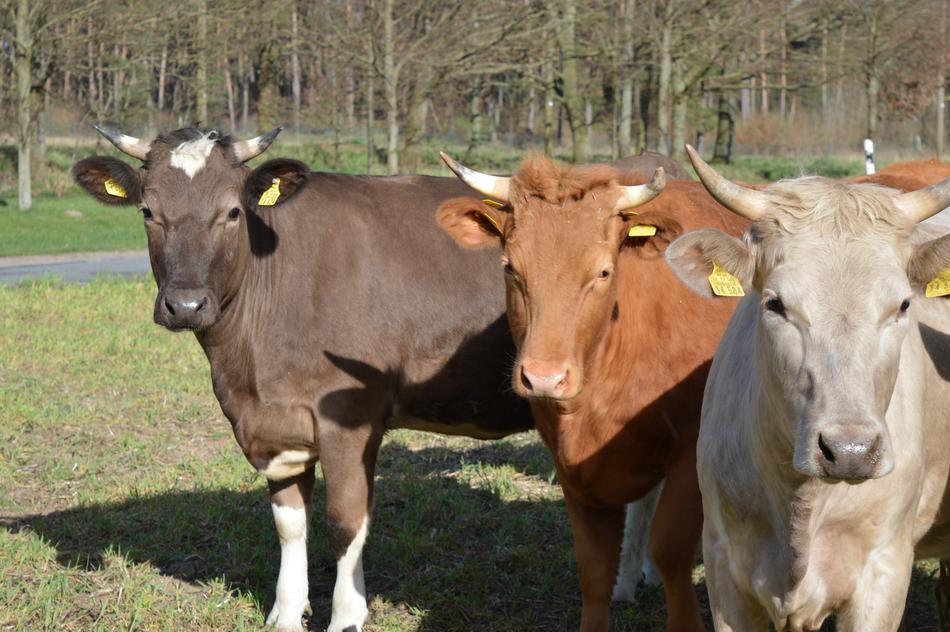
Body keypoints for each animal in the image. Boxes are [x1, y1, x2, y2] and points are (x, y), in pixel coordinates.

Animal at [435, 152, 748, 631]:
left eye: (603, 271)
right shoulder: (571, 468)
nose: (544, 378)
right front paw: (614, 583)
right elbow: (594, 570)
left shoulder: (690, 455)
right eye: (510, 267)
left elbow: (671, 550)